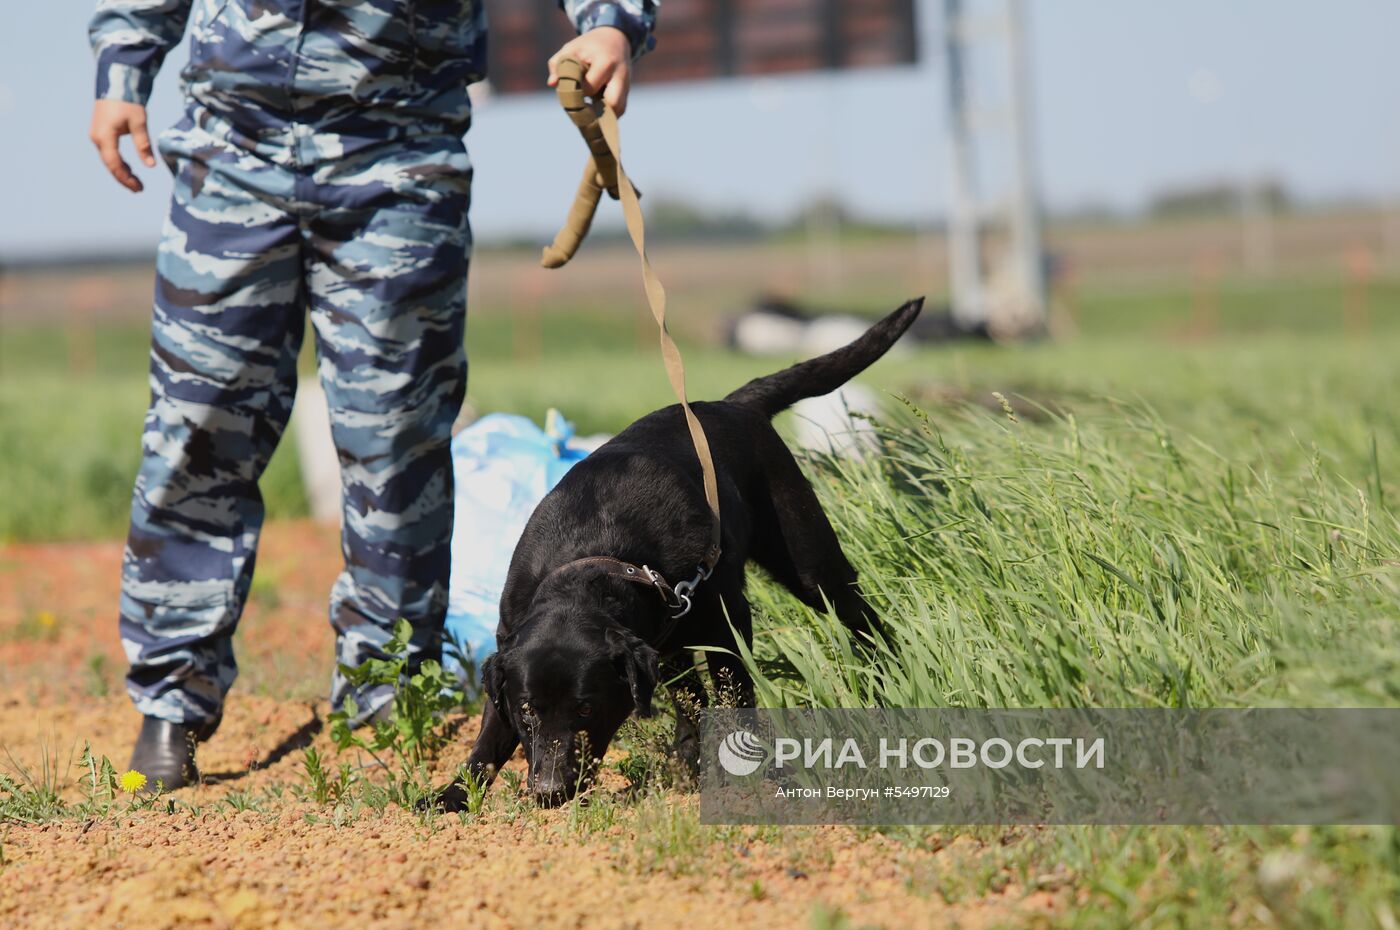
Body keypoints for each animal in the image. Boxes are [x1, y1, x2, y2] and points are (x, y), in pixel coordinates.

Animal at [453, 299, 924, 806]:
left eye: (586, 708)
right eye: (527, 710)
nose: (549, 791)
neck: (594, 552)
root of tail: (732, 404)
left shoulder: (727, 621)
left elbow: (734, 695)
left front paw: (749, 774)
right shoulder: (509, 647)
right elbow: (487, 740)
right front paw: (448, 799)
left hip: (808, 563)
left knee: (860, 617)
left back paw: (889, 679)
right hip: (671, 639)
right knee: (687, 693)